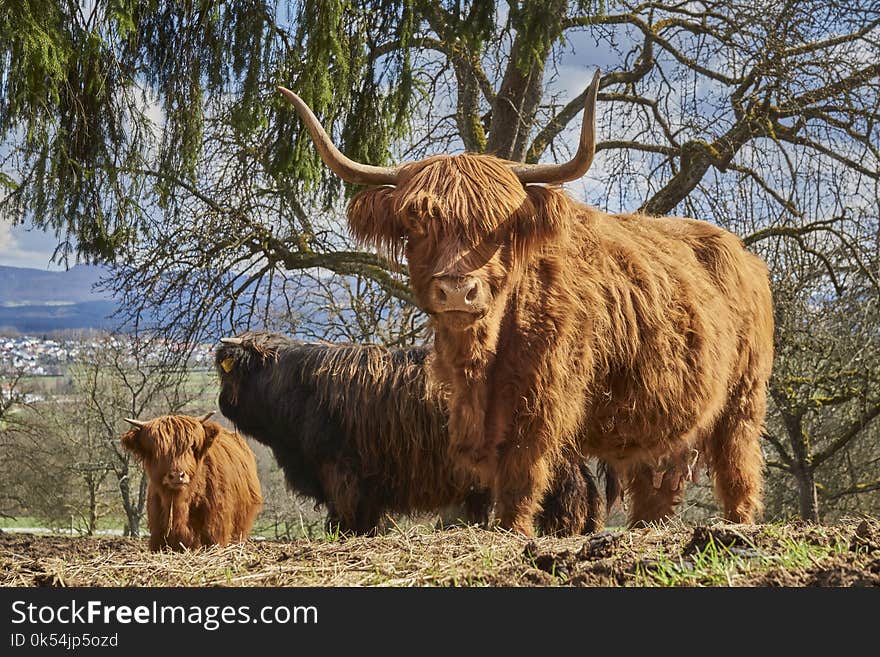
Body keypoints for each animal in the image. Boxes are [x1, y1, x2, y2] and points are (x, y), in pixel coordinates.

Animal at [217, 330, 608, 536]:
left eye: (227, 374)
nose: (221, 403)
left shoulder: (339, 467)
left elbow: (344, 509)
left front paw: (344, 533)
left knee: (569, 487)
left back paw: (563, 528)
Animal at [278, 69, 772, 536]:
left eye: (499, 226)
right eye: (416, 222)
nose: (457, 290)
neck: (484, 353)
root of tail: (744, 254)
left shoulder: (544, 397)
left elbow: (522, 470)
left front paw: (512, 529)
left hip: (744, 398)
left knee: (739, 467)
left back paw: (737, 526)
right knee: (656, 484)